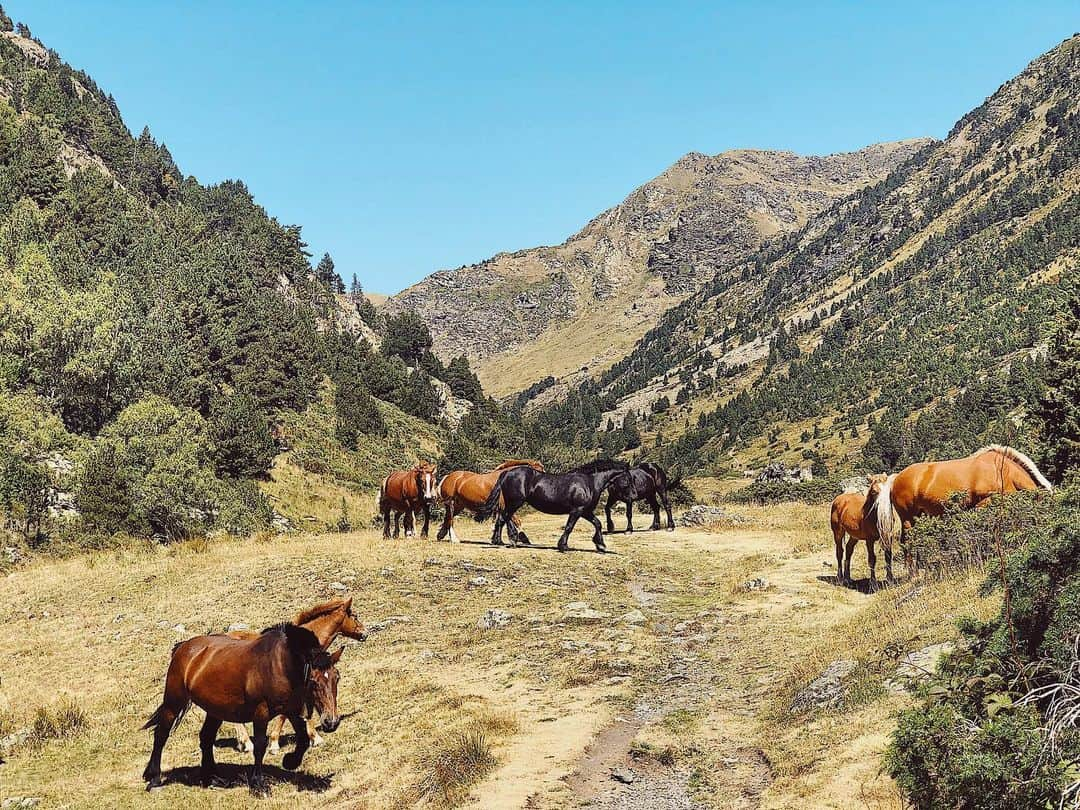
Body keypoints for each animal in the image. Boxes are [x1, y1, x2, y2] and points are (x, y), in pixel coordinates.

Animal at [141, 626, 339, 794]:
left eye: (336, 677)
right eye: (313, 681)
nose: (331, 722)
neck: (280, 664)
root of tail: (183, 647)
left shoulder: (290, 710)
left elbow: (303, 739)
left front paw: (290, 761)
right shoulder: (261, 713)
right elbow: (260, 745)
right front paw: (258, 785)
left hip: (215, 711)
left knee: (206, 738)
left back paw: (212, 779)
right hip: (173, 703)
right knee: (161, 735)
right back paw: (155, 779)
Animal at [477, 460, 630, 557]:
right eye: (628, 477)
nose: (630, 497)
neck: (589, 482)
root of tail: (506, 473)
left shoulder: (585, 511)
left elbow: (597, 524)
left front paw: (600, 545)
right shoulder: (577, 510)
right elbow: (569, 527)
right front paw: (563, 546)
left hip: (512, 503)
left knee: (503, 518)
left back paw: (501, 540)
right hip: (515, 502)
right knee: (504, 517)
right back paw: (506, 541)